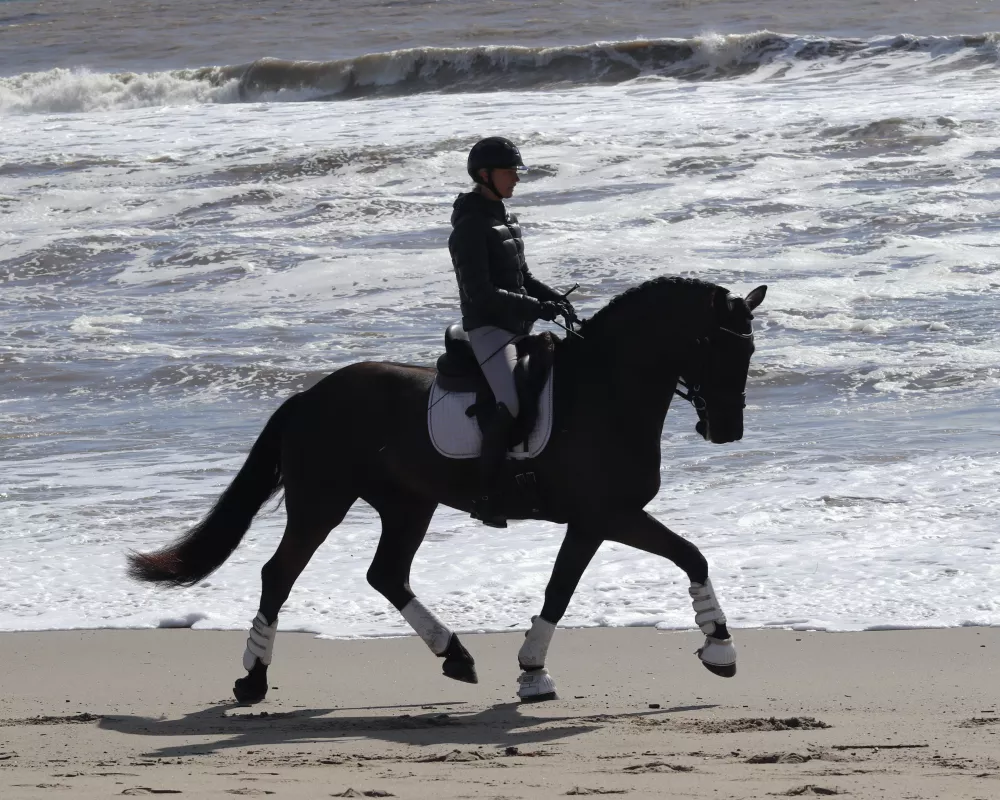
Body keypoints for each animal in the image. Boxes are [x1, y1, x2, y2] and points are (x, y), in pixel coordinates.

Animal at [125, 278, 764, 704]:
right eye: (719, 346)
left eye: (750, 350)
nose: (727, 430)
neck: (605, 390)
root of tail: (310, 395)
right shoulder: (609, 514)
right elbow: (686, 557)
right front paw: (721, 649)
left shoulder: (593, 521)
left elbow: (565, 588)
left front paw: (533, 671)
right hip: (322, 504)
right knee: (279, 575)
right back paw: (253, 679)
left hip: (408, 504)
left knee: (386, 574)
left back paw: (455, 655)